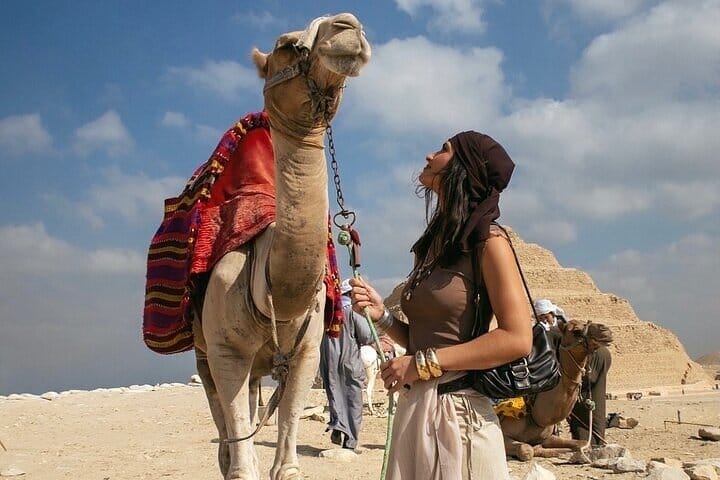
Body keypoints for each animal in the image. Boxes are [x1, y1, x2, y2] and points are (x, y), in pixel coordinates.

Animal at [191, 14, 371, 480]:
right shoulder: (225, 351)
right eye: (287, 45)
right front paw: (239, 464)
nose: (349, 26)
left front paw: (285, 465)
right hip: (202, 350)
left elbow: (288, 424)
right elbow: (239, 445)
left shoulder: (307, 352)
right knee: (221, 412)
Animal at [500, 319, 613, 461]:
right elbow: (527, 449)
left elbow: (581, 443)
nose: (605, 330)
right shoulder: (503, 434)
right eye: (576, 331)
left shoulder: (547, 436)